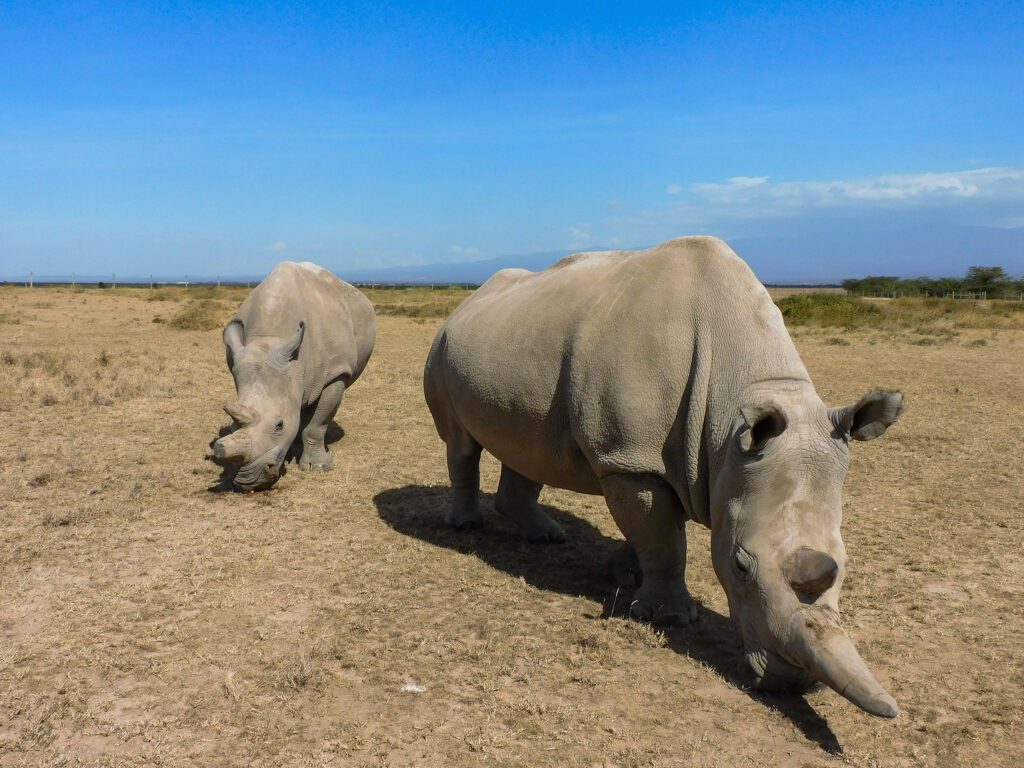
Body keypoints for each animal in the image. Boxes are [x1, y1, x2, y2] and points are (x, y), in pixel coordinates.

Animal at [213, 261, 376, 491]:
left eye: (279, 425)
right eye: (230, 425)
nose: (248, 482)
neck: (270, 337)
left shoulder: (336, 373)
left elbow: (318, 424)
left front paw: (317, 468)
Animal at [423, 236, 904, 717]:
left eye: (845, 564)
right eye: (740, 565)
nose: (794, 683)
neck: (734, 405)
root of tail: (467, 302)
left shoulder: (675, 458)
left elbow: (650, 532)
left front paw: (626, 575)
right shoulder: (632, 459)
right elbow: (663, 539)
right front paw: (667, 616)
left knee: (529, 447)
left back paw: (545, 536)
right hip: (443, 347)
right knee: (461, 443)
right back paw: (466, 526)